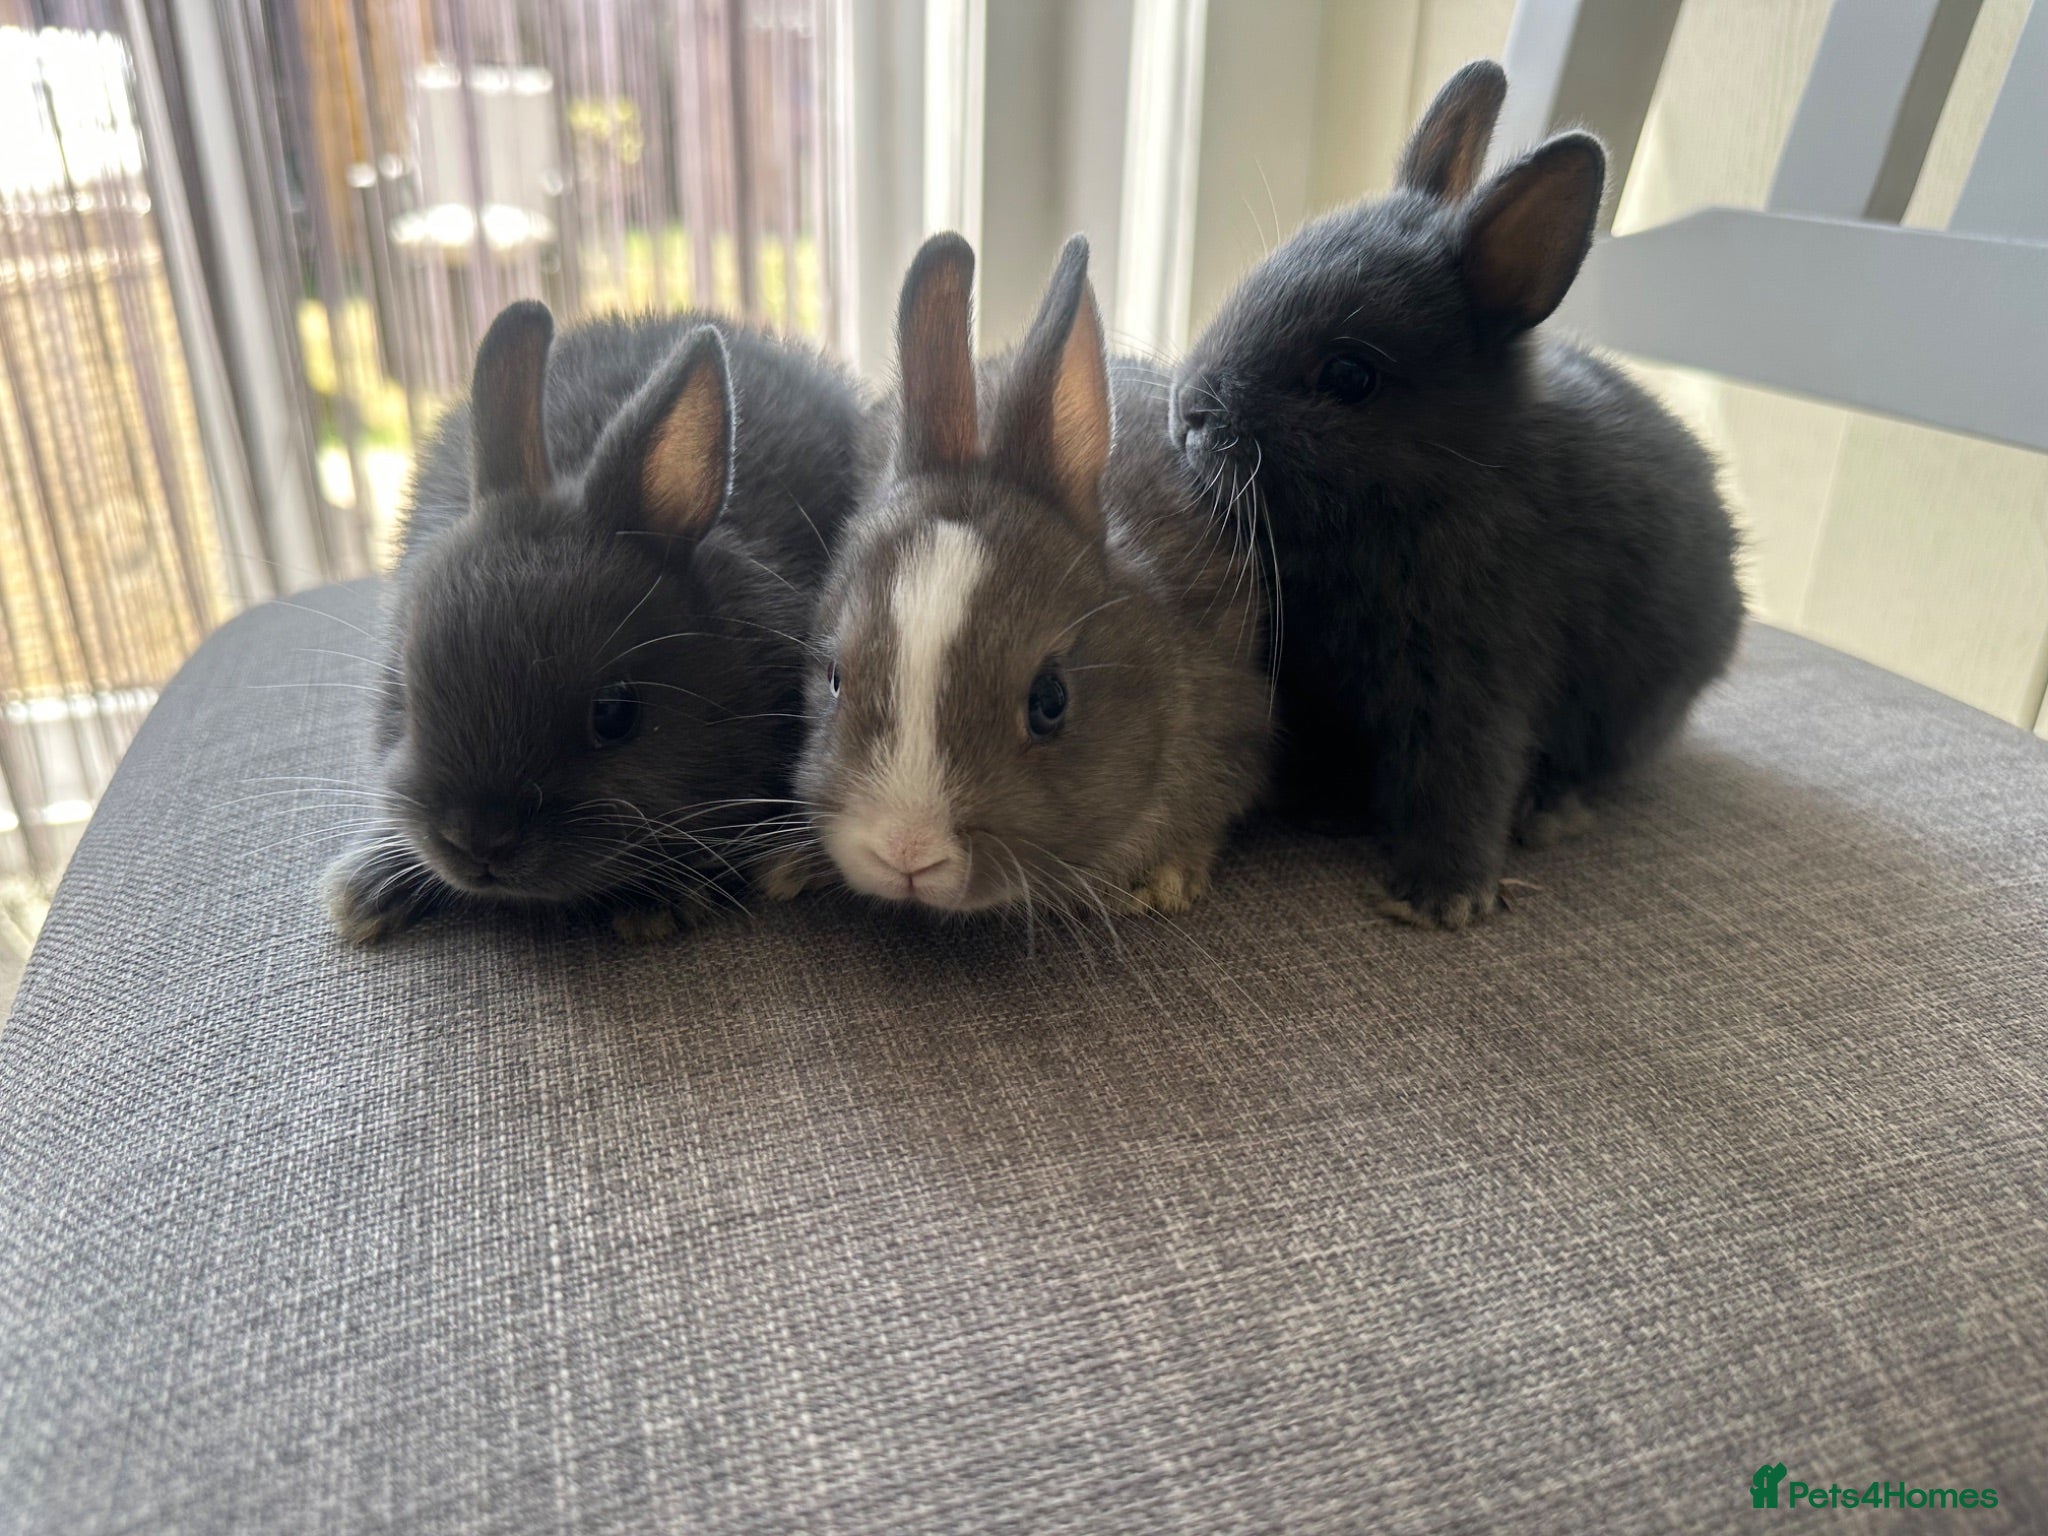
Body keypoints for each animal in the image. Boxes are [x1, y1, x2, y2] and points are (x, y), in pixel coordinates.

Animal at [1171, 59, 1743, 929]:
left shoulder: (1477, 676)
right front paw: (1318, 807)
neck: (1441, 484)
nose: (1190, 412)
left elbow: (1463, 777)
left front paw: (1441, 899)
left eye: (1350, 377)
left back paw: (1551, 812)